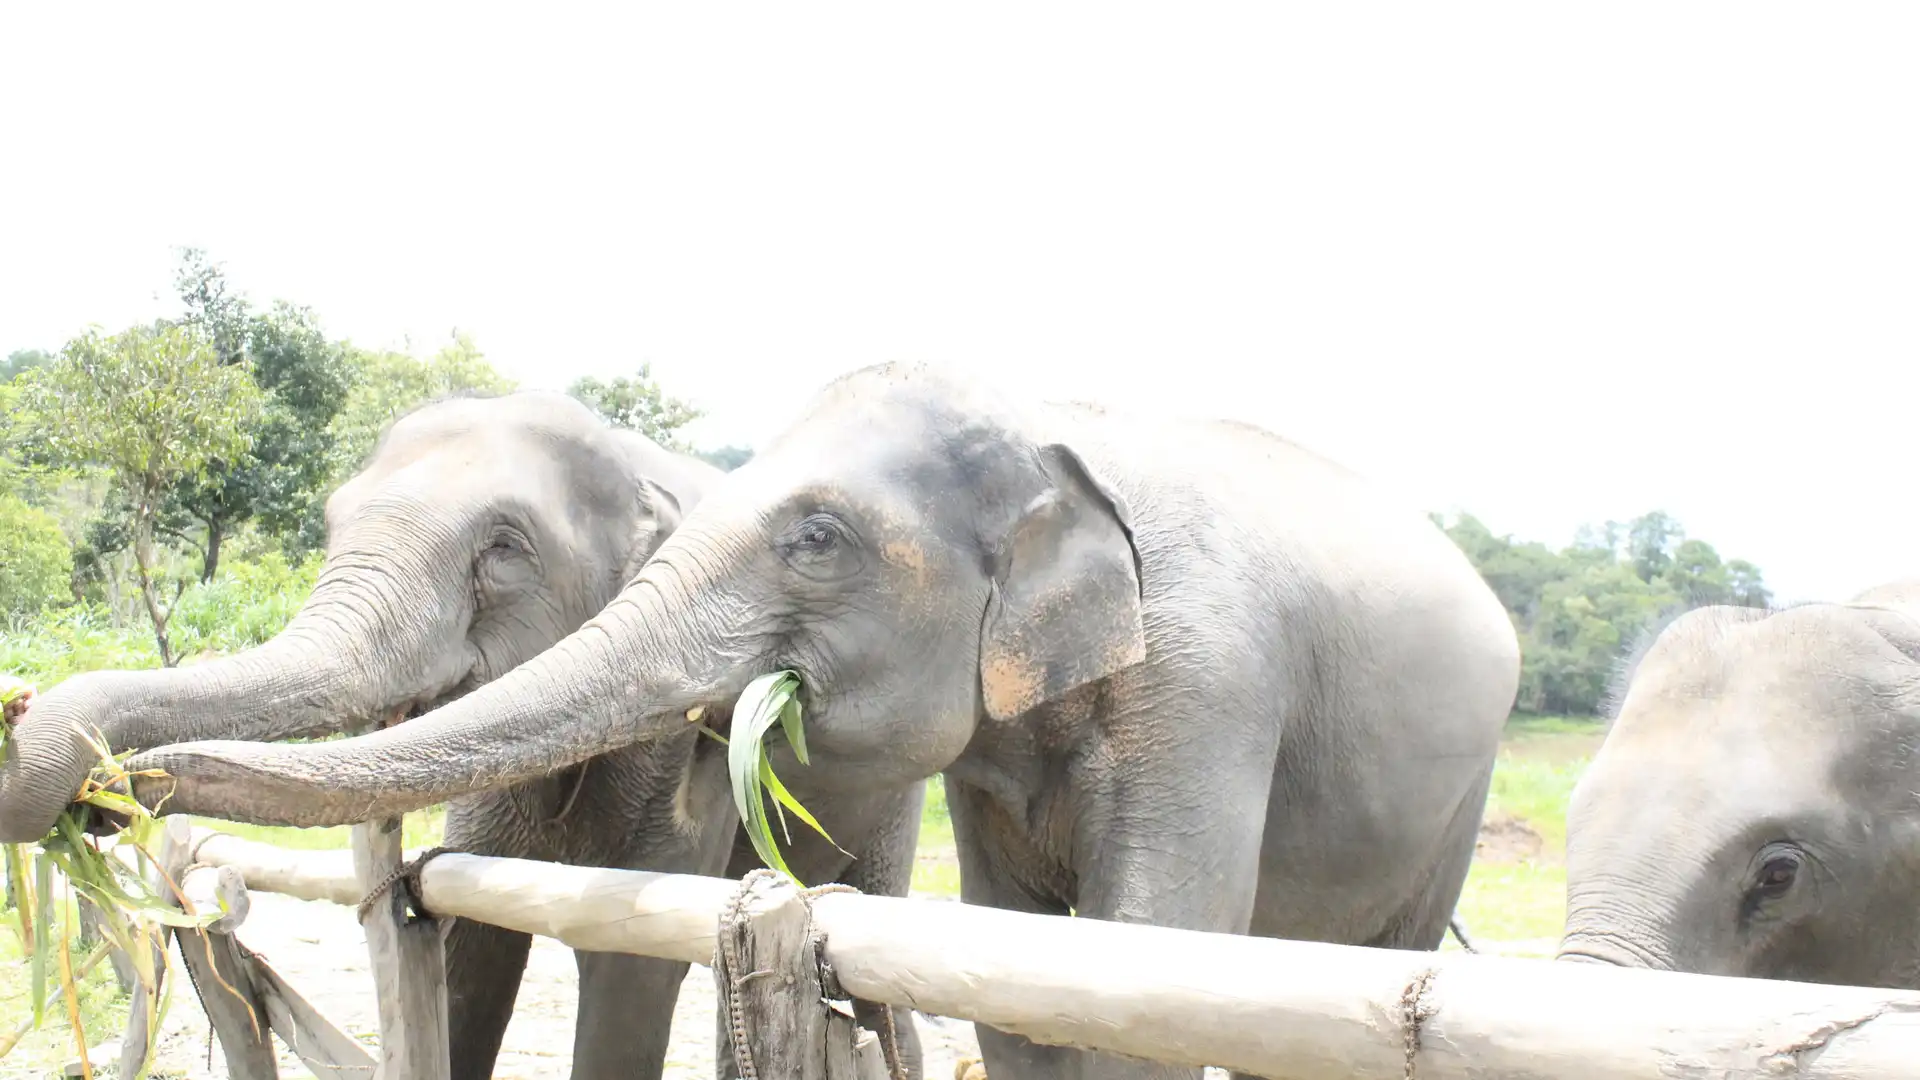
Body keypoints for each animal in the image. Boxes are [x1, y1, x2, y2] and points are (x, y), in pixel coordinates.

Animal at [0, 389, 753, 1080]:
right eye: (331, 522)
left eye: (505, 547)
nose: (103, 793)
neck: (636, 469)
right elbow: (471, 938)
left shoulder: (683, 744)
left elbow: (631, 963)